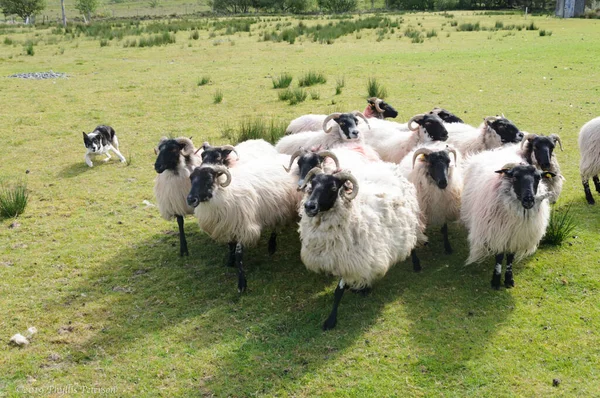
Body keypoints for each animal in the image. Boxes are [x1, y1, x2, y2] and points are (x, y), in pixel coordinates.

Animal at [186, 156, 300, 292]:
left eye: (208, 179)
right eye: (191, 178)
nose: (190, 199)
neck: (224, 193)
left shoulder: (243, 227)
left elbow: (239, 254)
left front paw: (242, 283)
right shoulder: (227, 225)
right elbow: (230, 245)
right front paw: (230, 262)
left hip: (279, 209)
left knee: (275, 227)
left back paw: (272, 247)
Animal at [298, 164, 424, 330]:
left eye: (333, 187)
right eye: (311, 185)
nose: (309, 206)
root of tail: (391, 166)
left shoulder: (350, 260)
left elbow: (338, 292)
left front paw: (331, 320)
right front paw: (363, 288)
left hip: (410, 221)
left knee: (412, 242)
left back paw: (416, 264)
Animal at [462, 146, 556, 290]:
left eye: (538, 178)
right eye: (515, 177)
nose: (529, 200)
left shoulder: (515, 235)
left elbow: (510, 257)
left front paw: (508, 279)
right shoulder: (498, 233)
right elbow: (500, 257)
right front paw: (495, 281)